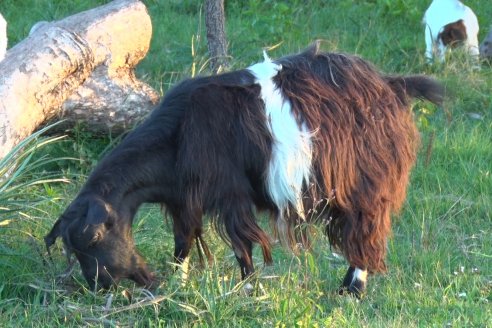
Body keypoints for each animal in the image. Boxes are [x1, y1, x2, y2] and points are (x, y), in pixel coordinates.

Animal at [46, 43, 444, 298]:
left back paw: (352, 290)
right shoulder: (185, 198)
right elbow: (183, 241)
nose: (100, 286)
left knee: (367, 229)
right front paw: (179, 284)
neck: (180, 134)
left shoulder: (231, 193)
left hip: (367, 183)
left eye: (93, 238)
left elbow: (242, 245)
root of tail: (391, 85)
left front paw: (248, 289)